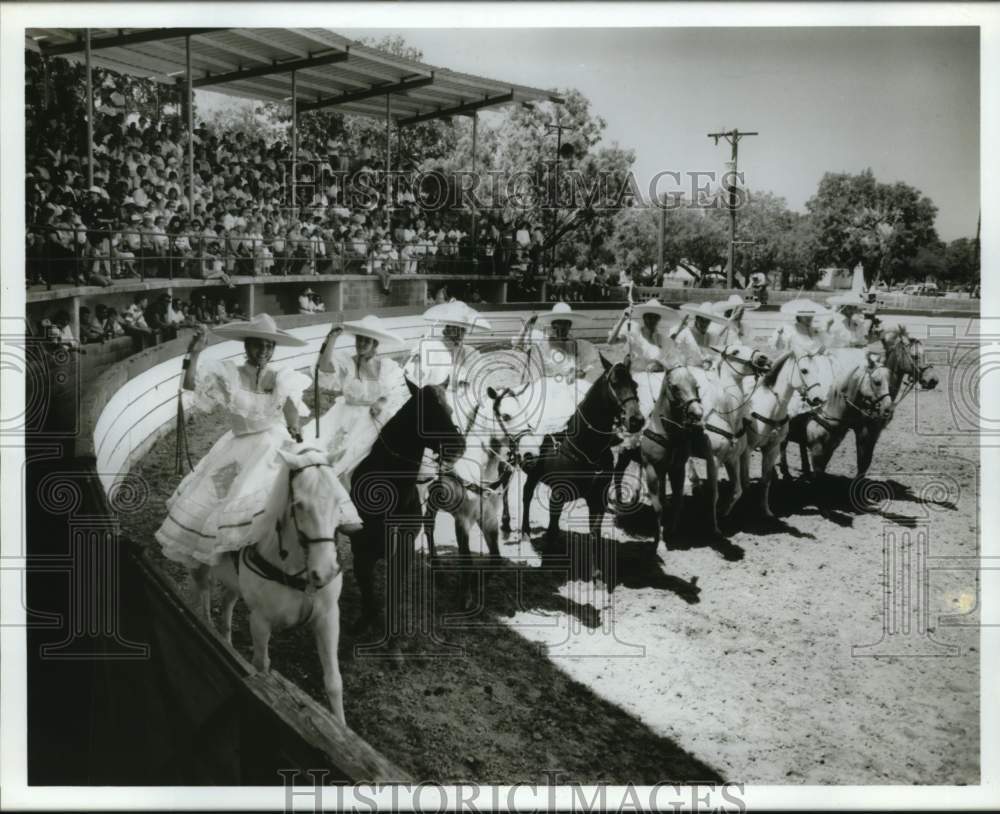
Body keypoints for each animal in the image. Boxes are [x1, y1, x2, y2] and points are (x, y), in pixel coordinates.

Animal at [189, 446, 350, 728]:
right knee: (204, 596)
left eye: (337, 501)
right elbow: (262, 665)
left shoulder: (328, 617)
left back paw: (227, 641)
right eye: (299, 505)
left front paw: (341, 729)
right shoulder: (260, 621)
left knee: (228, 602)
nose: (325, 572)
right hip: (201, 567)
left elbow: (333, 681)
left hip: (235, 584)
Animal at [348, 376, 464, 636]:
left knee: (430, 529)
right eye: (426, 413)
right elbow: (366, 588)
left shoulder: (402, 551)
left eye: (450, 410)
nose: (458, 446)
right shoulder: (361, 551)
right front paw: (365, 619)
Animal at [520, 354, 644, 544]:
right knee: (526, 495)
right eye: (614, 383)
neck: (586, 449)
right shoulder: (557, 496)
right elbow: (552, 531)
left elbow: (594, 535)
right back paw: (524, 531)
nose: (636, 420)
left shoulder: (598, 501)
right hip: (532, 473)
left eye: (635, 384)